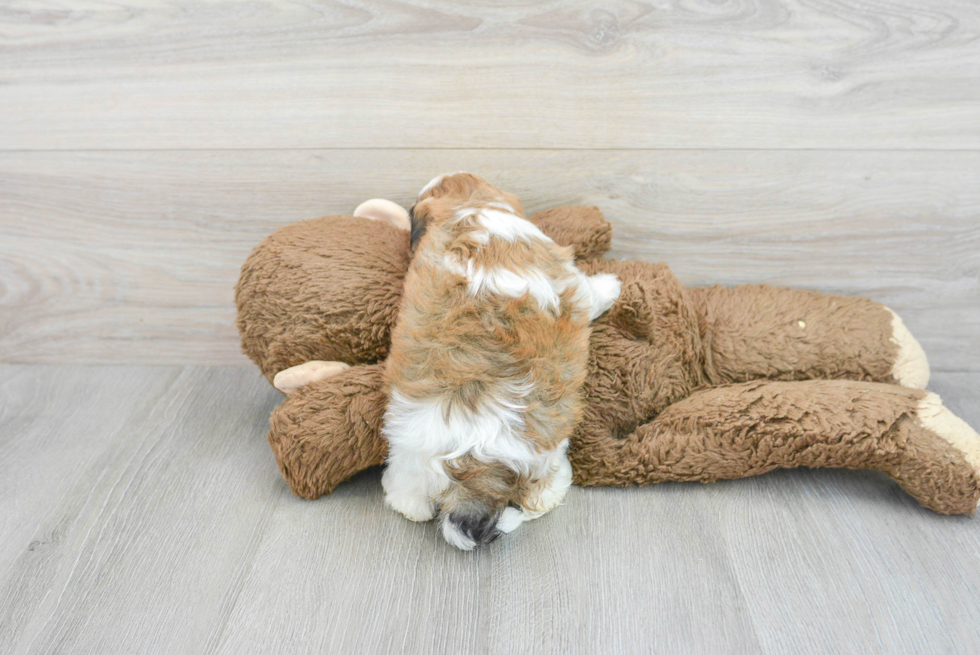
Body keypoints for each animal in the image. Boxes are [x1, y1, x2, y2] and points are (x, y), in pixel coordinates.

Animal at [378, 172, 616, 552]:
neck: (472, 208)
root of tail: (469, 461)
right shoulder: (573, 283)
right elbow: (592, 293)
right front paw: (611, 285)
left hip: (410, 452)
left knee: (407, 491)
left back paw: (408, 505)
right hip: (543, 451)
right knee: (539, 489)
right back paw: (553, 490)